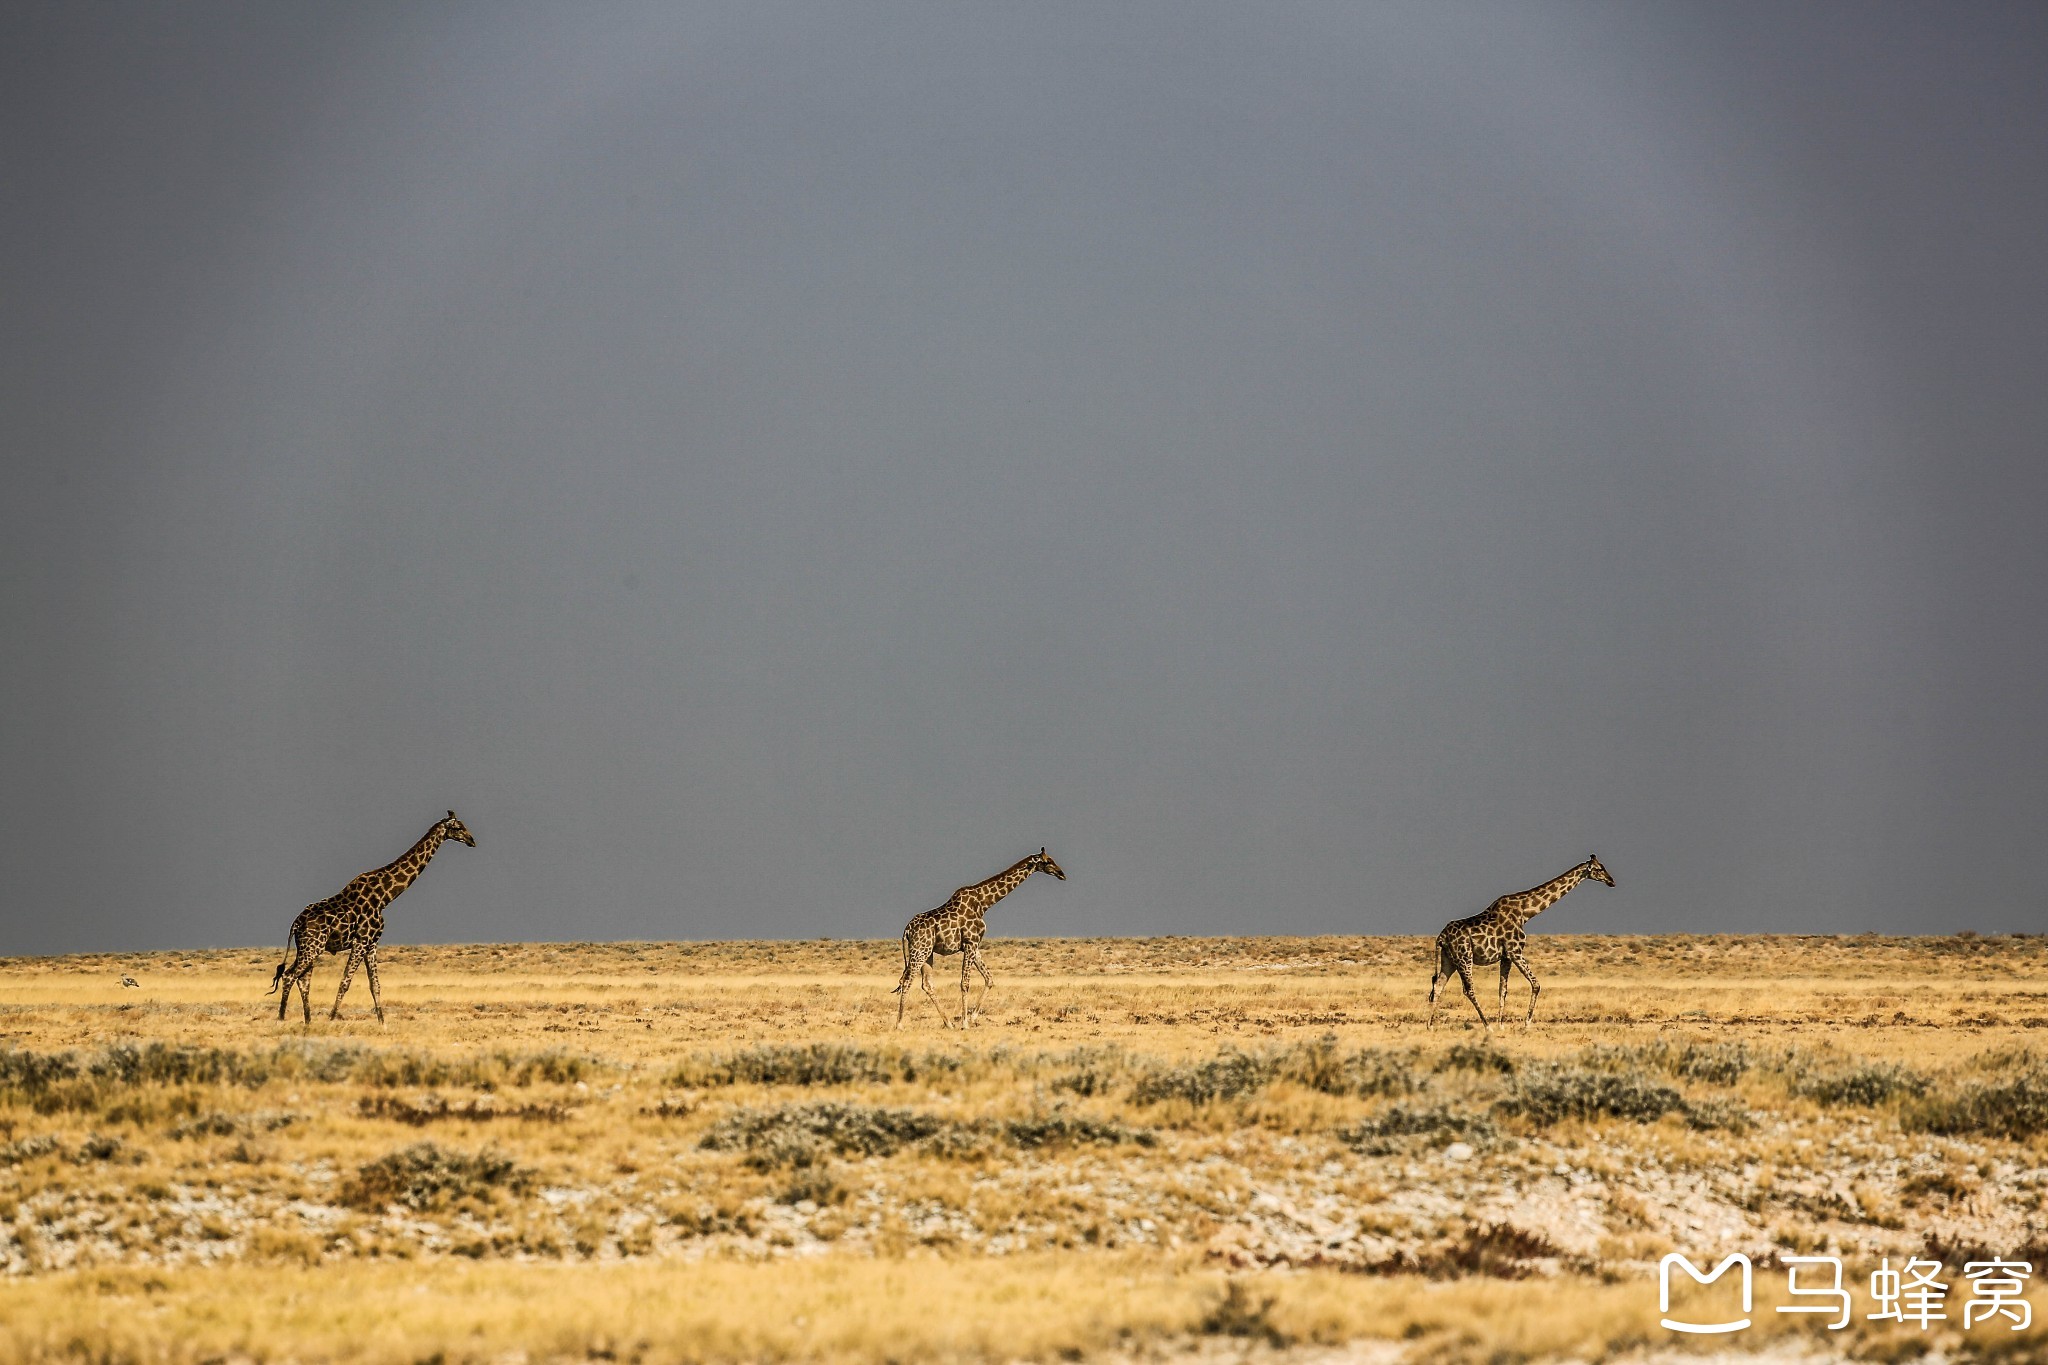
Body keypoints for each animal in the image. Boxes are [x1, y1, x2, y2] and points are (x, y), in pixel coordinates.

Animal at [268, 810, 475, 1023]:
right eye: (458, 827)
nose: (472, 840)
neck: (384, 897)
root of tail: (296, 923)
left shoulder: (372, 943)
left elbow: (375, 985)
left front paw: (382, 1023)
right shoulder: (361, 941)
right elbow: (345, 981)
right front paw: (332, 1018)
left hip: (308, 947)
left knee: (303, 980)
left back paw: (308, 1022)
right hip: (313, 947)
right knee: (290, 976)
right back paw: (281, 1019)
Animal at [888, 847, 1064, 1031]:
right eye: (1047, 861)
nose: (1062, 874)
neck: (983, 903)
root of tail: (907, 930)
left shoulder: (974, 945)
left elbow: (989, 979)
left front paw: (972, 1017)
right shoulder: (970, 943)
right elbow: (965, 983)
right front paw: (965, 1022)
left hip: (927, 953)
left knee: (926, 984)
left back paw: (948, 1023)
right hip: (920, 951)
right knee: (907, 981)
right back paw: (899, 1024)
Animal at [1425, 847, 1613, 1031]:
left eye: (1603, 866)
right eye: (1599, 869)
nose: (1611, 881)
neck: (1525, 912)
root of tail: (1441, 937)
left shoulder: (1506, 956)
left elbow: (1502, 990)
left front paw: (1501, 1025)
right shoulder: (1515, 951)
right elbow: (1536, 984)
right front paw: (1526, 1023)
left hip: (1449, 959)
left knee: (1438, 985)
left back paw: (1430, 1025)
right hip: (1464, 957)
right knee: (1468, 990)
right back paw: (1486, 1026)